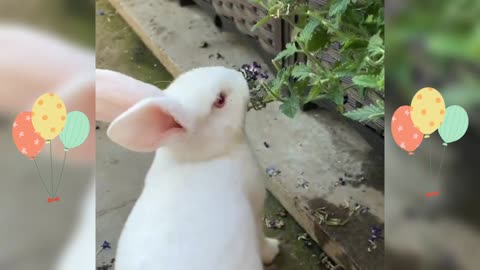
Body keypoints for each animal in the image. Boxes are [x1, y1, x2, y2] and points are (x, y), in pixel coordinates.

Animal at [107, 66, 280, 270]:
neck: (201, 158)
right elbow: (261, 238)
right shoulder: (256, 203)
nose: (238, 75)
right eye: (220, 100)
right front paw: (274, 249)